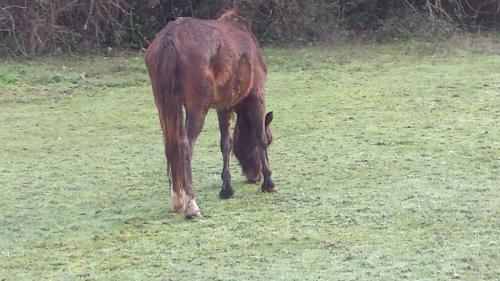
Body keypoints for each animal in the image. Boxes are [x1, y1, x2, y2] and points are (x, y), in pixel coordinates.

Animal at [145, 10, 278, 218]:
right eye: (272, 140)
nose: (254, 176)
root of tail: (169, 38)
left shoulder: (224, 106)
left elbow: (225, 144)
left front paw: (227, 188)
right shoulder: (257, 94)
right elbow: (260, 138)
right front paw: (269, 182)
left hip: (164, 105)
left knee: (171, 145)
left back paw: (177, 199)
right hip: (197, 106)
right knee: (185, 145)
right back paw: (191, 203)